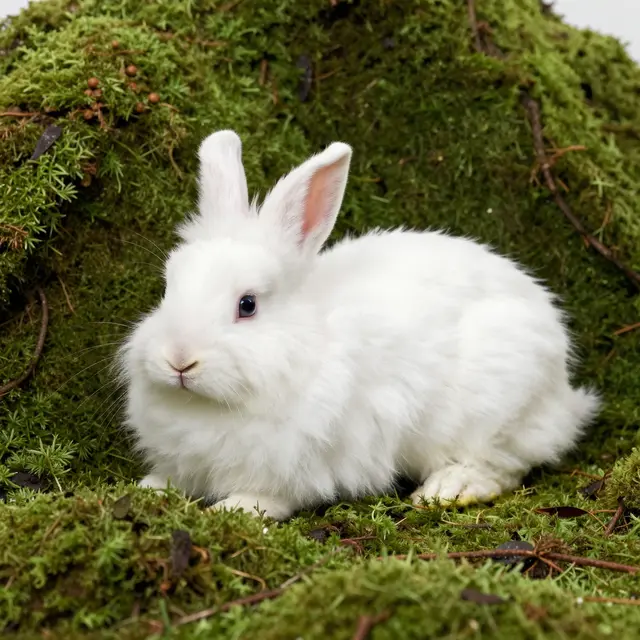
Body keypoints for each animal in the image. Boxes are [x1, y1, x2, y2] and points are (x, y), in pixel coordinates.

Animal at [119, 129, 600, 521]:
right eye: (168, 287)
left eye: (248, 305)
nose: (179, 360)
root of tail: (563, 389)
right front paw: (148, 488)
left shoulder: (300, 462)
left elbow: (271, 495)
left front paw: (234, 508)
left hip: (492, 412)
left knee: (506, 464)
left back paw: (449, 488)